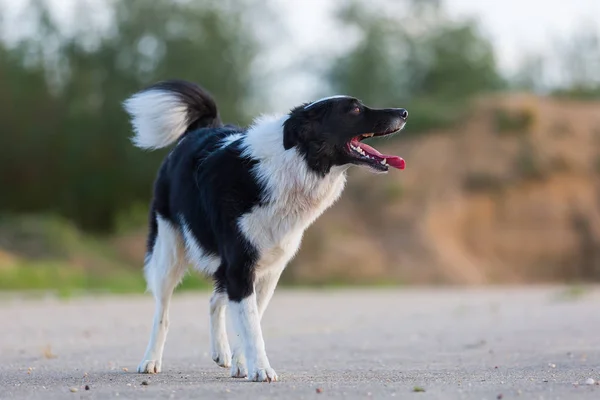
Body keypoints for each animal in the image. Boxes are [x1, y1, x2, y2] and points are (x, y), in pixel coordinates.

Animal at [123, 79, 408, 382]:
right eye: (354, 109)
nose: (403, 112)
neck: (294, 163)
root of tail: (203, 129)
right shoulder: (240, 265)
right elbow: (251, 326)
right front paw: (261, 369)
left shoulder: (268, 269)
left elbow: (250, 320)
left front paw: (242, 364)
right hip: (168, 252)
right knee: (162, 311)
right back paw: (150, 360)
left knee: (214, 300)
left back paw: (221, 353)